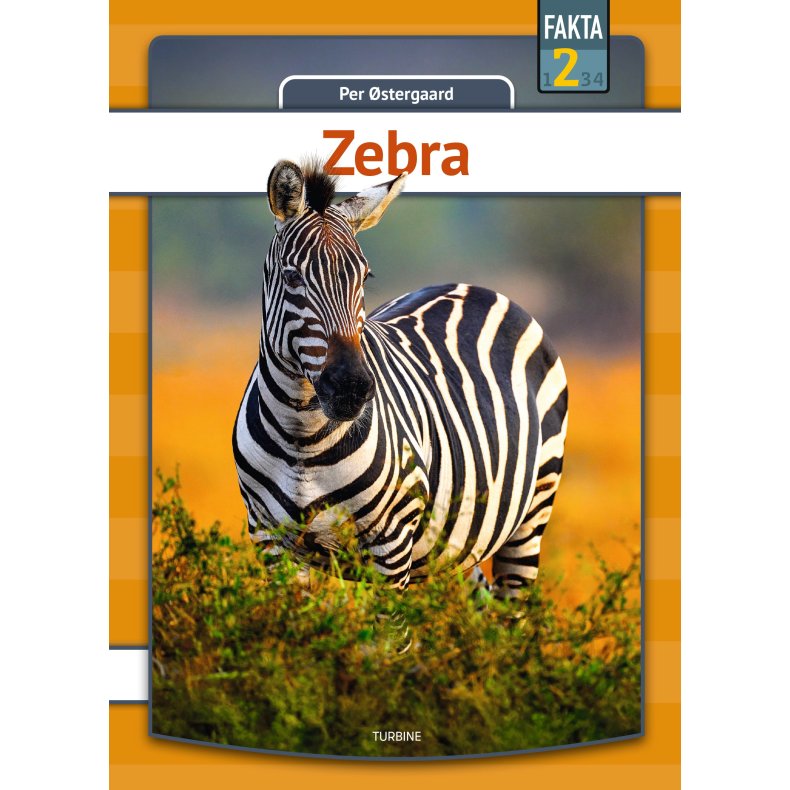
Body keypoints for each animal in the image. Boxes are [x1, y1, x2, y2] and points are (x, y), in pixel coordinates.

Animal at [232, 159, 568, 599]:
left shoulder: (391, 544)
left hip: (533, 513)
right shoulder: (271, 542)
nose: (352, 388)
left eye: (365, 278)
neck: (301, 436)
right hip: (453, 544)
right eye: (292, 279)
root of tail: (475, 287)